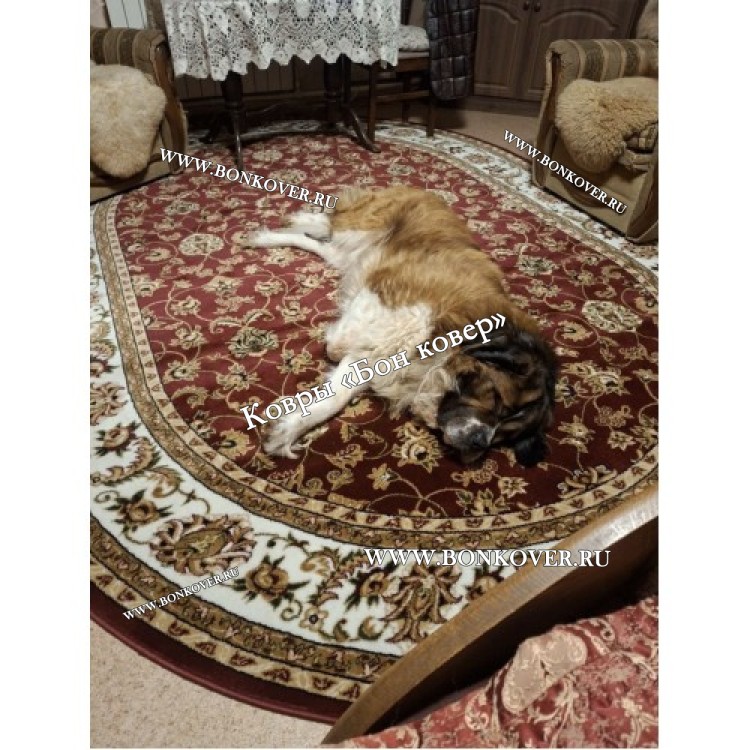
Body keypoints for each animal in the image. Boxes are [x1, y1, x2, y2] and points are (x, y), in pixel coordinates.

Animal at [248, 187, 558, 466]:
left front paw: (288, 431)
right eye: (496, 399)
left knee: (322, 245)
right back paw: (283, 227)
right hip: (362, 226)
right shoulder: (392, 290)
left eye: (505, 435)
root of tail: (428, 191)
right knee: (329, 223)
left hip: (344, 253)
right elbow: (351, 342)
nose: (479, 442)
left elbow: (338, 394)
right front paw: (339, 343)